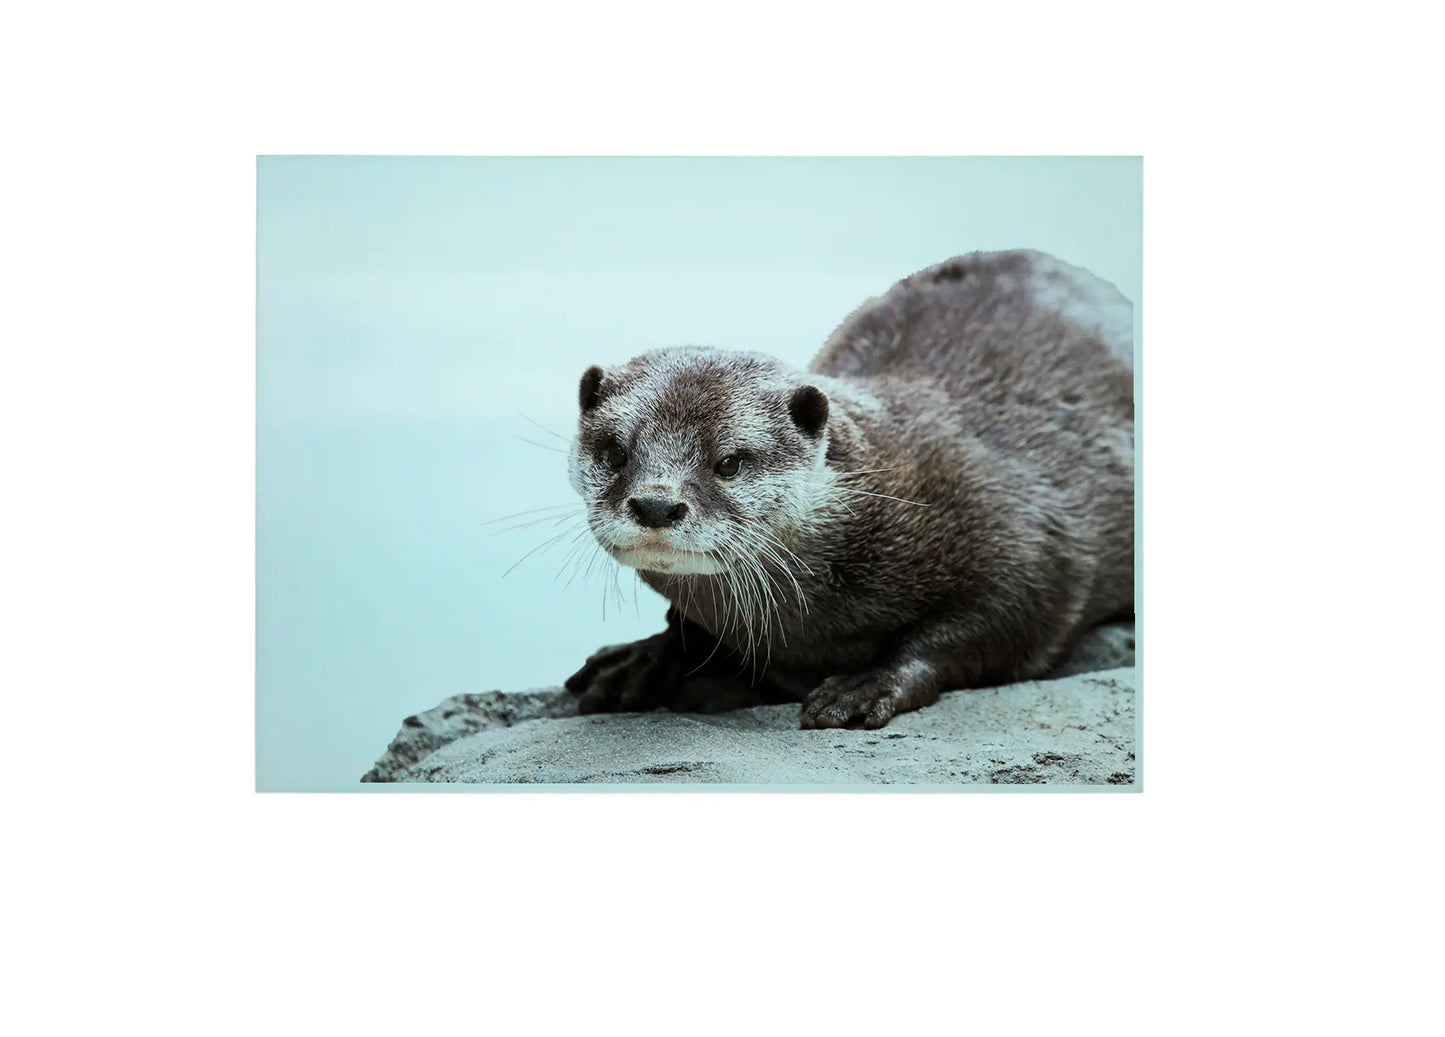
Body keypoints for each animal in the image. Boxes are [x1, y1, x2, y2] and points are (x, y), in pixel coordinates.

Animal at [562, 249, 1134, 729]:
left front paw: (866, 685)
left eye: (728, 462)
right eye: (616, 452)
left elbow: (989, 627)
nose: (656, 504)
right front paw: (642, 659)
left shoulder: (1033, 547)